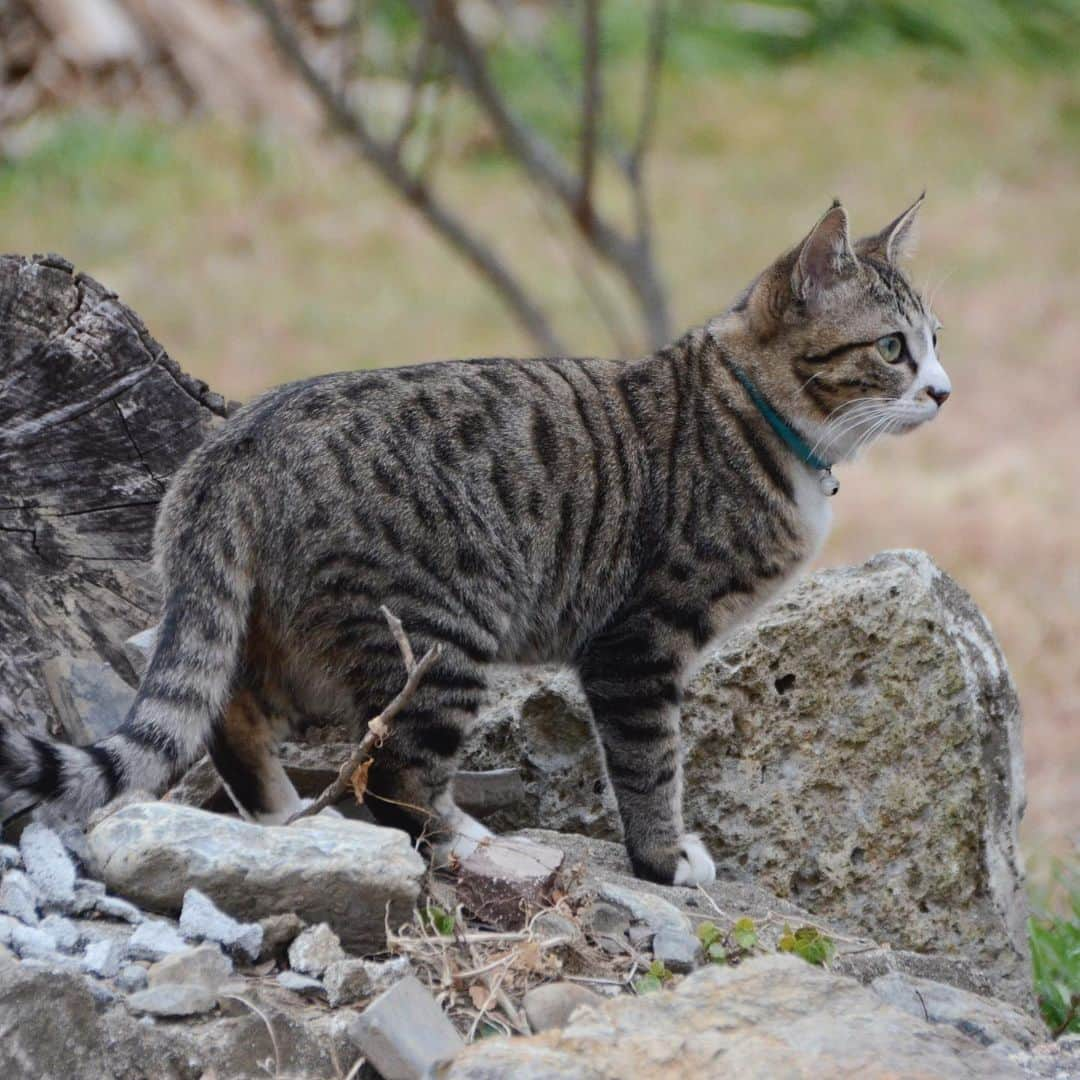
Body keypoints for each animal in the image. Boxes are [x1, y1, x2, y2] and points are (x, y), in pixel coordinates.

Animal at [2, 200, 946, 885]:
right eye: (893, 348)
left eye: (936, 342)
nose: (943, 391)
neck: (753, 411)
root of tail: (234, 445)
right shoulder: (638, 643)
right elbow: (651, 764)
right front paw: (664, 857)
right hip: (436, 636)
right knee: (397, 779)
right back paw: (473, 843)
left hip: (294, 635)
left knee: (229, 713)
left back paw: (279, 821)